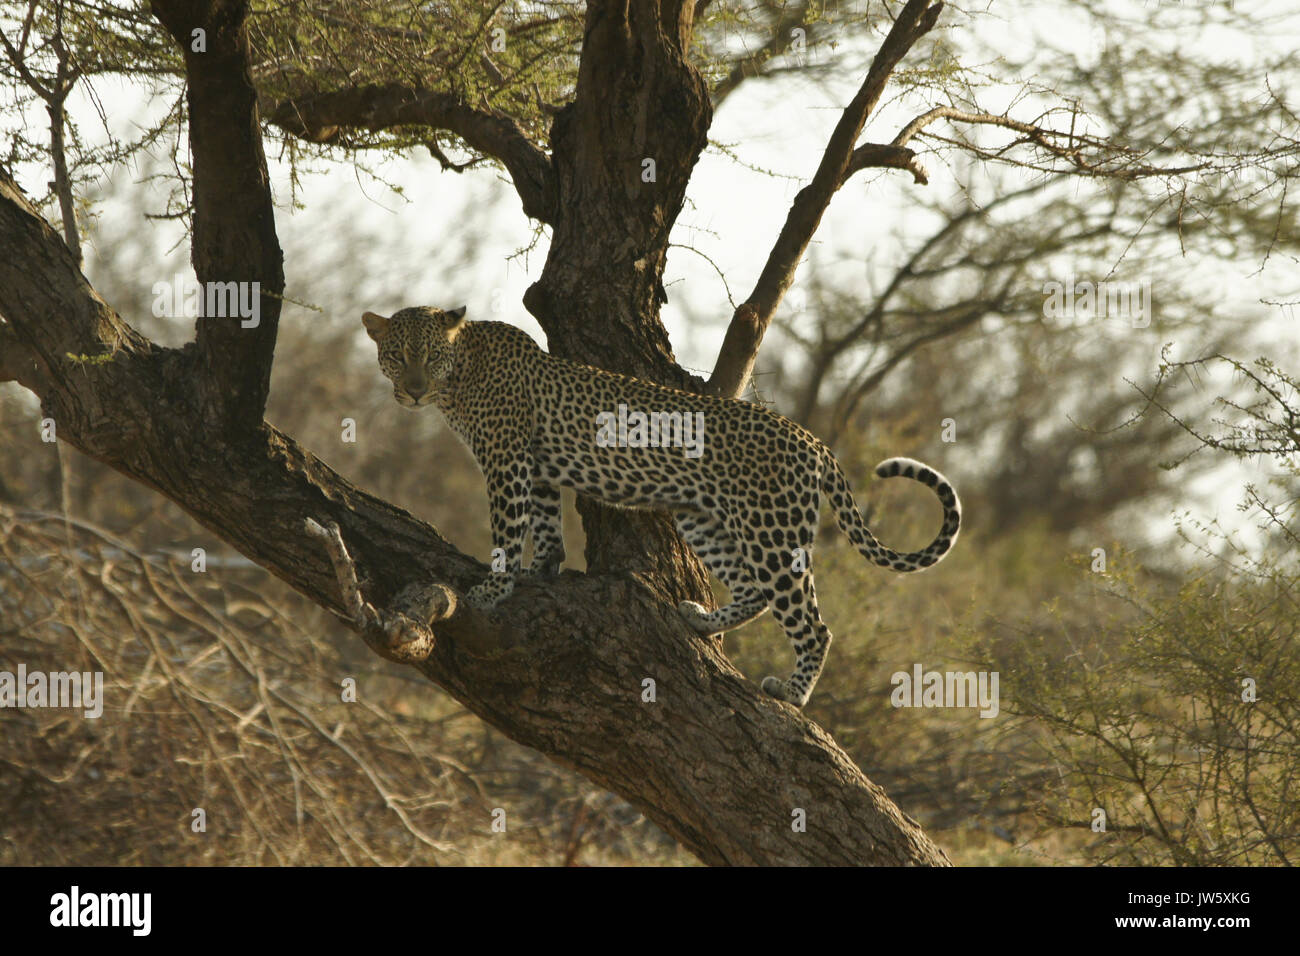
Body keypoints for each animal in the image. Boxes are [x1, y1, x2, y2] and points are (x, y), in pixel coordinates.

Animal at [361, 306, 961, 712]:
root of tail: (812, 440)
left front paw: (491, 588)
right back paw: (701, 620)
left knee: (812, 622)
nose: (412, 390)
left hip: (772, 531)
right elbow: (546, 524)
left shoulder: (508, 460)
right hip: (704, 518)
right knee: (752, 591)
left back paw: (791, 692)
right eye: (397, 356)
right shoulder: (536, 464)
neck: (457, 378)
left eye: (429, 356)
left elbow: (509, 530)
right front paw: (543, 569)